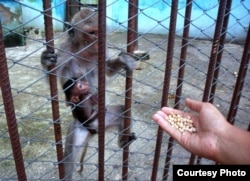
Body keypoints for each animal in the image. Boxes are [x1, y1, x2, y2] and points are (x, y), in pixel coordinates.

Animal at [40, 7, 137, 181]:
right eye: (91, 32)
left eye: (100, 32)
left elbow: (107, 69)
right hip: (78, 127)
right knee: (69, 159)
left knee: (122, 111)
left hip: (104, 118)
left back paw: (123, 143)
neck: (84, 50)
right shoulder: (66, 50)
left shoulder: (102, 51)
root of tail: (94, 129)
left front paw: (123, 61)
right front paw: (45, 61)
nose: (98, 41)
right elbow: (52, 77)